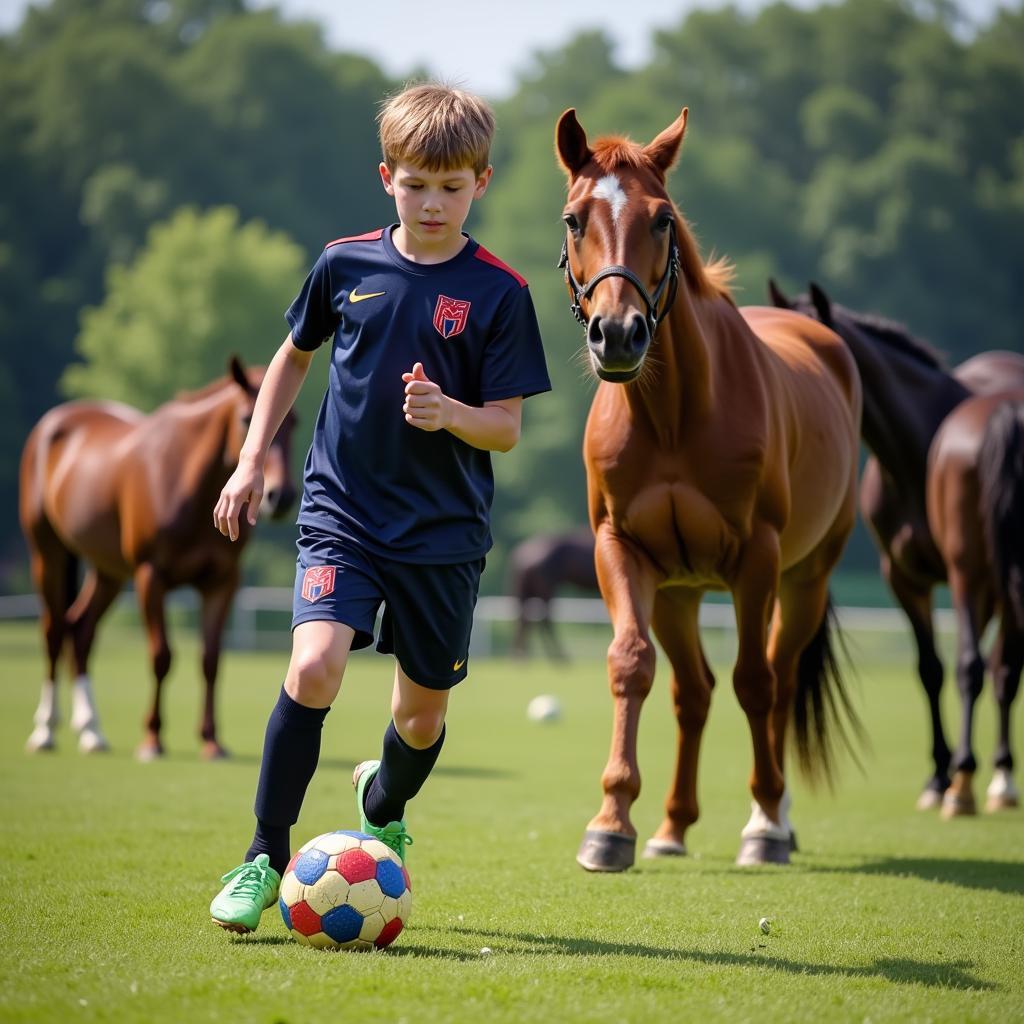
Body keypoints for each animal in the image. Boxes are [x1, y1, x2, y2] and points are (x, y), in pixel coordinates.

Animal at [18, 356, 299, 757]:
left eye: (296, 422)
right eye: (247, 418)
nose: (281, 496)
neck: (190, 483)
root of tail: (53, 423)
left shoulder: (222, 581)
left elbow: (211, 660)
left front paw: (211, 740)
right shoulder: (151, 576)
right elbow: (162, 656)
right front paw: (152, 737)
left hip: (108, 571)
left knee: (81, 630)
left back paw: (91, 731)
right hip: (48, 554)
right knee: (54, 630)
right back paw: (45, 730)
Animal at [505, 528, 598, 663]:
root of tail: (523, 554)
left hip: (529, 589)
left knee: (526, 619)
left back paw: (522, 655)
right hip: (546, 587)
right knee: (544, 620)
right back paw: (558, 656)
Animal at [557, 105, 860, 872]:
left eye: (663, 219)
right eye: (574, 218)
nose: (619, 334)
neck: (672, 417)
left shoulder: (757, 557)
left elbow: (755, 682)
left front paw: (765, 828)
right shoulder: (621, 549)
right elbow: (630, 665)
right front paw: (611, 824)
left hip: (805, 576)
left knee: (777, 680)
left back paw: (772, 817)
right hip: (679, 591)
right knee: (692, 692)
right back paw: (671, 825)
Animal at [770, 284, 1024, 819]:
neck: (914, 451)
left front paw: (959, 776)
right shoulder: (905, 578)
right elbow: (930, 670)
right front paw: (939, 777)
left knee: (997, 668)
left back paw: (996, 777)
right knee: (989, 665)